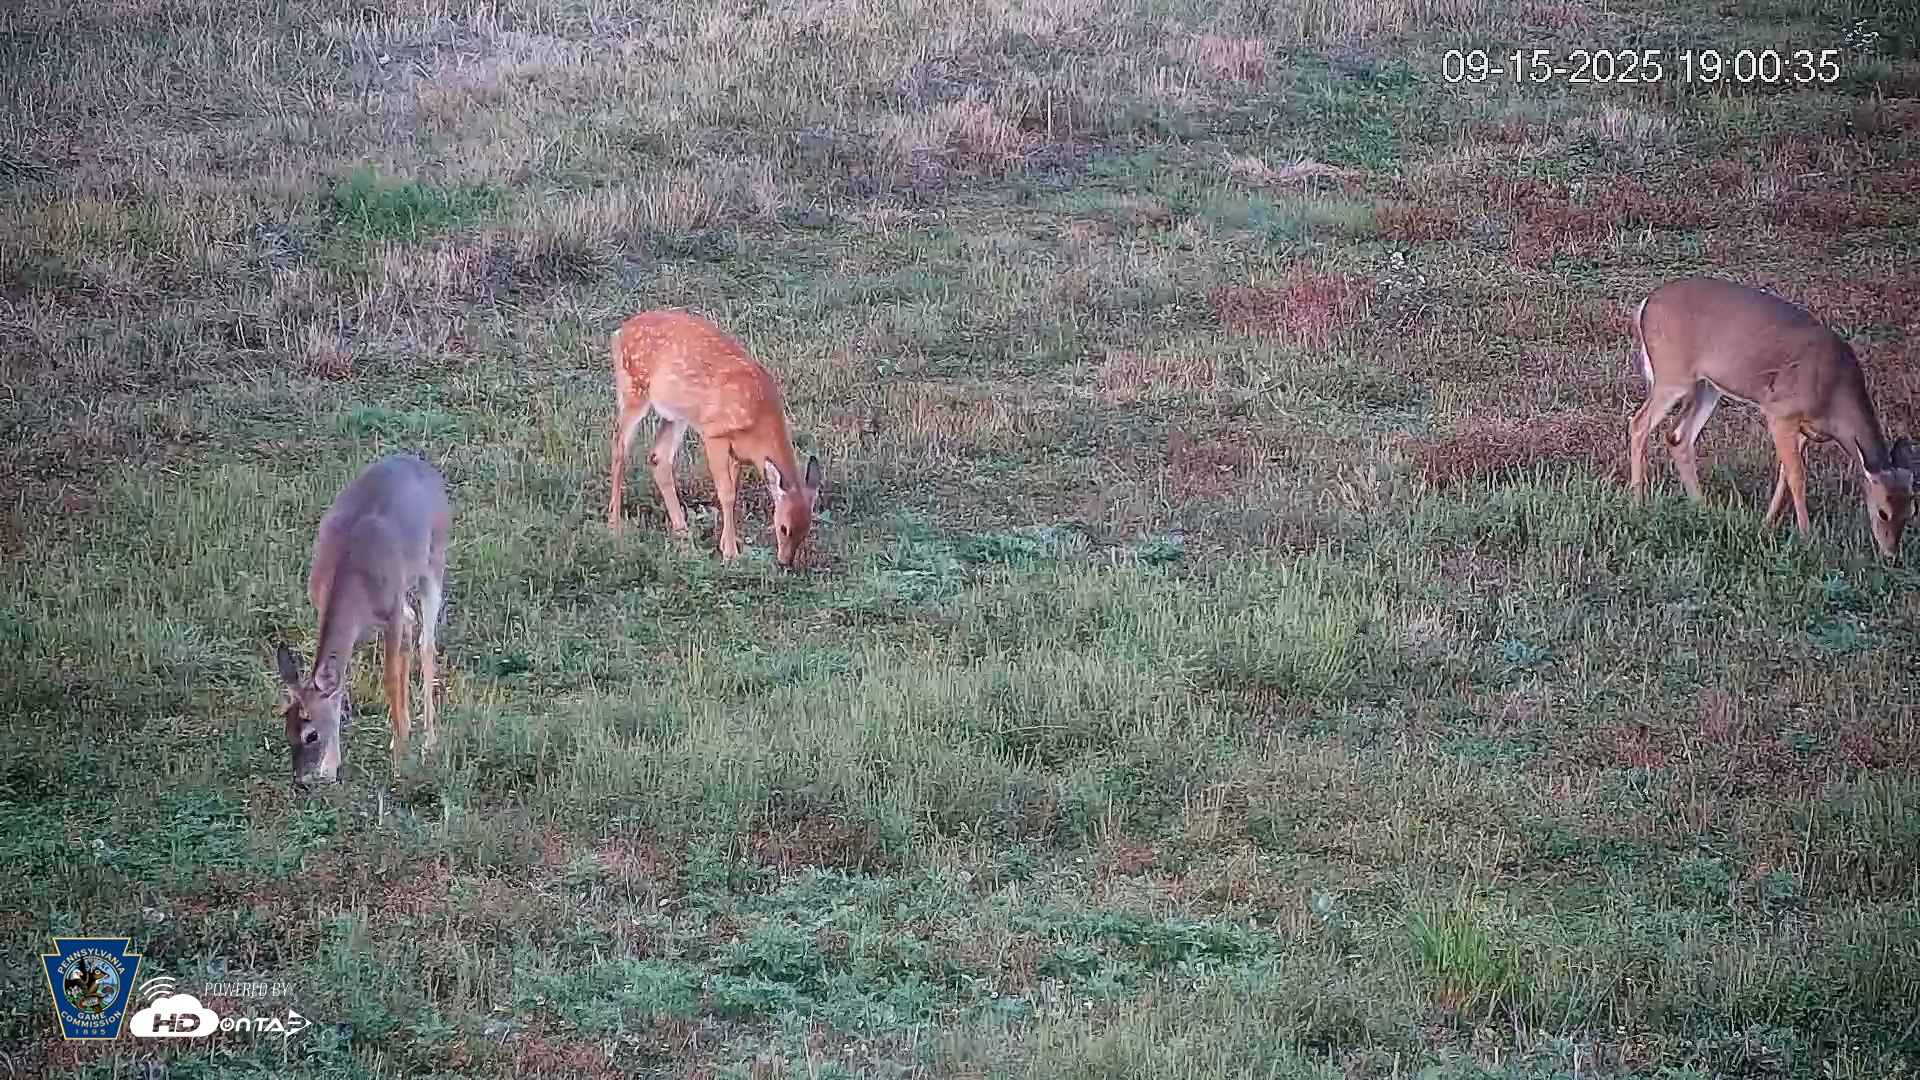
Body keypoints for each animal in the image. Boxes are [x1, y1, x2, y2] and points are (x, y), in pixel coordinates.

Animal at [273, 453, 452, 784]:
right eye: (286, 728)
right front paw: (330, 767)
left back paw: (429, 740)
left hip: (435, 561)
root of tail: (421, 463)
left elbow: (390, 678)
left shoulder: (390, 612)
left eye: (310, 734)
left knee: (427, 642)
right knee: (413, 624)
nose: (299, 780)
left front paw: (399, 760)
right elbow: (338, 684)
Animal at [606, 308, 823, 569]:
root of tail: (619, 332)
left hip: (676, 414)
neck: (758, 419)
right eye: (783, 528)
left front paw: (725, 542)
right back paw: (615, 526)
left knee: (658, 458)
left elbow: (733, 491)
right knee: (619, 448)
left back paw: (683, 533)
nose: (785, 562)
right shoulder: (715, 434)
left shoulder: (736, 451)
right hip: (633, 391)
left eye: (806, 530)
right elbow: (727, 493)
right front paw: (730, 553)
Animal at [1627, 276, 1916, 559]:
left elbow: (1784, 474)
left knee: (1678, 436)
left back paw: (1701, 506)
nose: (1891, 554)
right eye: (1883, 512)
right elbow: (1797, 476)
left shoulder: (1802, 429)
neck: (1834, 398)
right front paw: (1806, 536)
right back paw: (1639, 503)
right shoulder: (1780, 413)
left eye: (1911, 511)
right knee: (1639, 424)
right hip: (1673, 374)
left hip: (1706, 386)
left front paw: (1766, 525)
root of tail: (1645, 304)